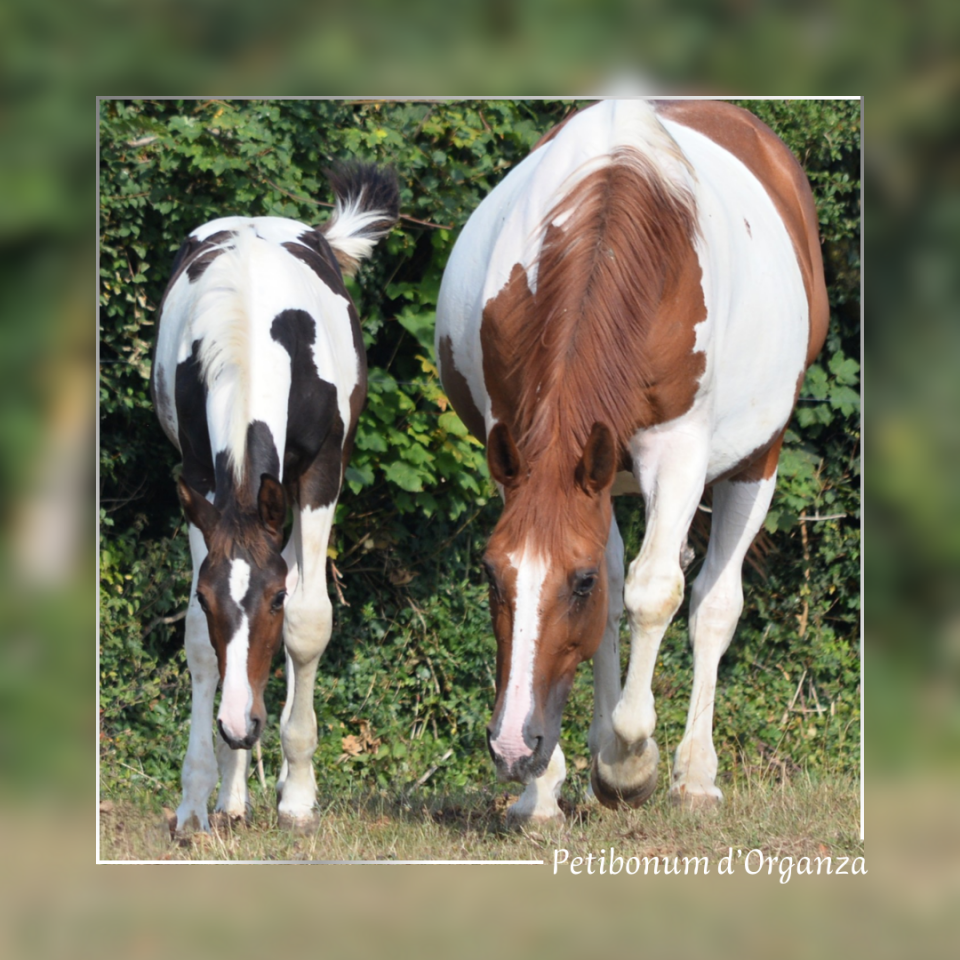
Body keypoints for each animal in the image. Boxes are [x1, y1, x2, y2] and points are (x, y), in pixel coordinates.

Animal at [151, 163, 398, 831]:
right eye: (209, 598)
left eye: (274, 600)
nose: (239, 723)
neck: (251, 334)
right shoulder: (200, 479)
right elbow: (198, 642)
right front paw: (198, 797)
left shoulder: (319, 475)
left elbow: (309, 623)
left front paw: (299, 794)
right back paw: (235, 793)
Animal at [435, 100, 828, 822]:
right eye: (491, 577)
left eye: (577, 583)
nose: (513, 747)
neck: (613, 245)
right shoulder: (528, 457)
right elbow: (618, 596)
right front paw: (543, 790)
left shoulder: (677, 454)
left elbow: (653, 593)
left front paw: (627, 763)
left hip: (755, 461)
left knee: (713, 605)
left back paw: (693, 775)